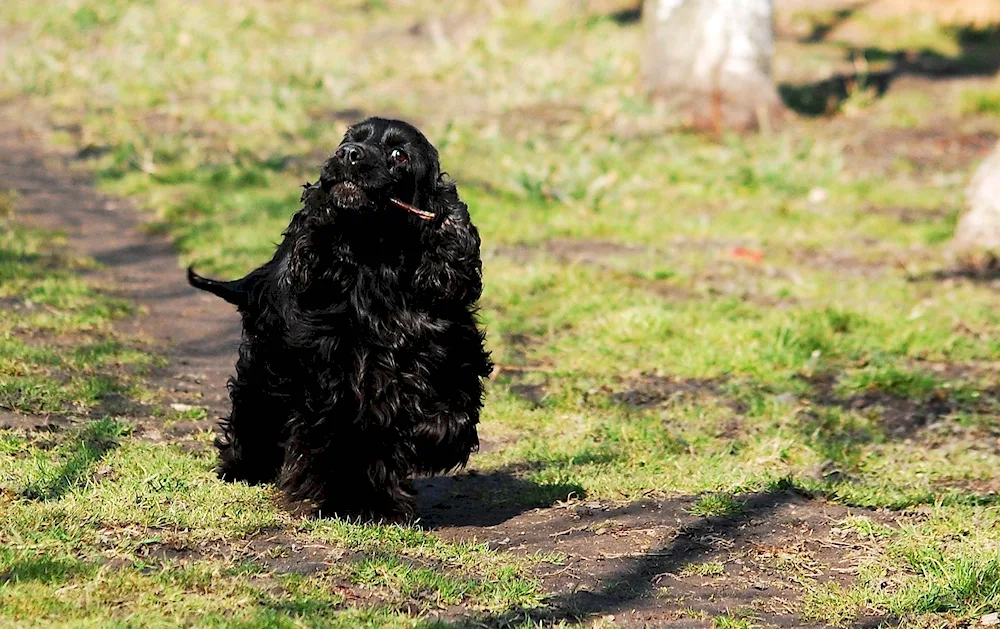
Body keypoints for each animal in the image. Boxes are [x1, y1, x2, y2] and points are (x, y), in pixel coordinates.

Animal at [187, 118, 492, 520]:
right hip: (268, 366)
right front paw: (343, 501)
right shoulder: (329, 373)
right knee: (254, 411)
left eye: (399, 154)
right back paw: (242, 468)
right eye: (347, 140)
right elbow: (337, 437)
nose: (349, 154)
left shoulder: (447, 350)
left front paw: (415, 457)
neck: (376, 262)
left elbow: (449, 414)